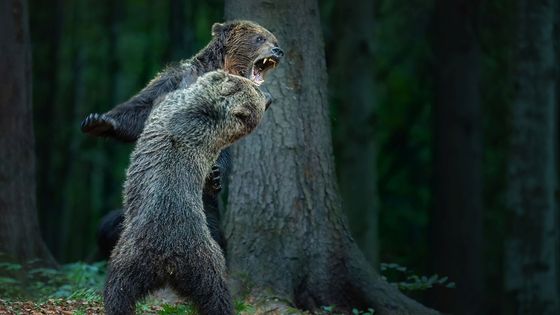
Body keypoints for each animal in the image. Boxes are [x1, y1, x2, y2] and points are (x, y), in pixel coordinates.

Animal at [82, 19, 284, 256]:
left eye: (274, 40)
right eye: (259, 38)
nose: (278, 50)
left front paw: (216, 174)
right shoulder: (174, 81)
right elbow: (142, 108)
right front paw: (98, 121)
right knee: (111, 225)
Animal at [106, 69, 272, 315]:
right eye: (257, 91)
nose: (270, 97)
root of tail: (169, 262)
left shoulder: (172, 107)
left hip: (144, 253)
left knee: (118, 288)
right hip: (196, 263)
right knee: (214, 294)